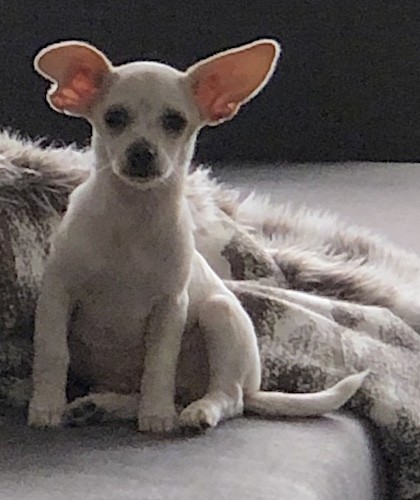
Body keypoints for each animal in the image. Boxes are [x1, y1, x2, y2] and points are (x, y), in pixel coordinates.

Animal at [27, 39, 366, 432]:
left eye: (175, 122)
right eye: (114, 118)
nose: (142, 152)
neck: (132, 216)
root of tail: (254, 389)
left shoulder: (170, 307)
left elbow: (159, 364)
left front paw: (156, 415)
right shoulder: (57, 295)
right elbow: (53, 353)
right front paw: (46, 405)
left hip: (220, 315)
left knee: (229, 398)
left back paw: (199, 410)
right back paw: (103, 405)